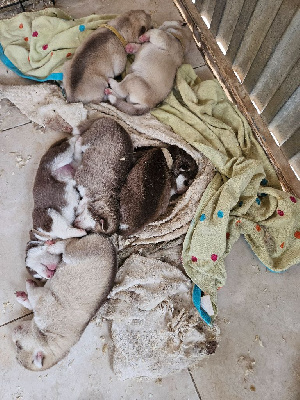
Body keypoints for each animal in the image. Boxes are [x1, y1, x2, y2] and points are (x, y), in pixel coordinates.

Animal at [13, 234, 117, 372]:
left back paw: (52, 247)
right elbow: (30, 302)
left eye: (18, 346)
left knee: (68, 243)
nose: (13, 330)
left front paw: (29, 285)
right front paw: (22, 297)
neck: (46, 340)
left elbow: (33, 293)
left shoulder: (43, 301)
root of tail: (109, 243)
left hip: (75, 254)